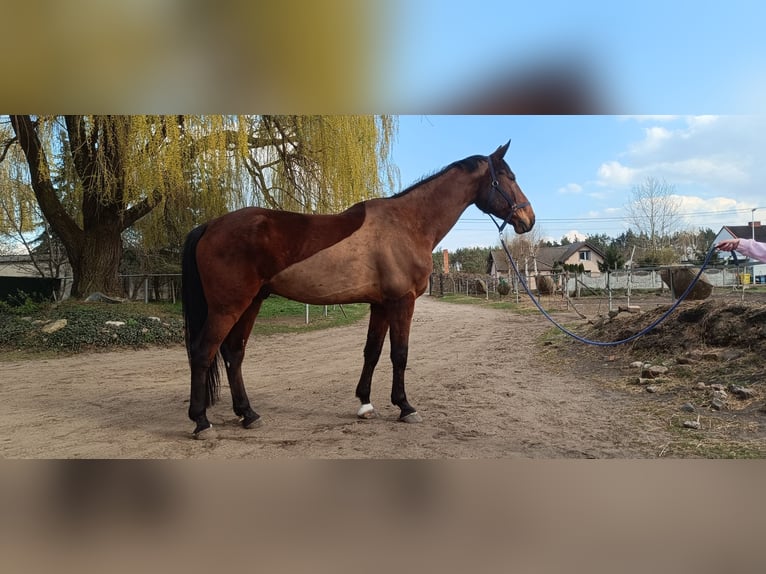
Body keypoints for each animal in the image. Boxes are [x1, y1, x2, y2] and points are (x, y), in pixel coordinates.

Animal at [181, 141, 535, 438]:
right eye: (509, 177)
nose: (527, 219)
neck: (408, 223)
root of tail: (210, 225)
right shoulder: (401, 302)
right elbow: (399, 354)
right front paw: (405, 407)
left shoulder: (380, 305)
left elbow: (372, 352)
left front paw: (365, 404)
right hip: (229, 306)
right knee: (203, 352)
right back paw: (201, 422)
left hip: (251, 302)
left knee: (233, 354)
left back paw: (248, 414)